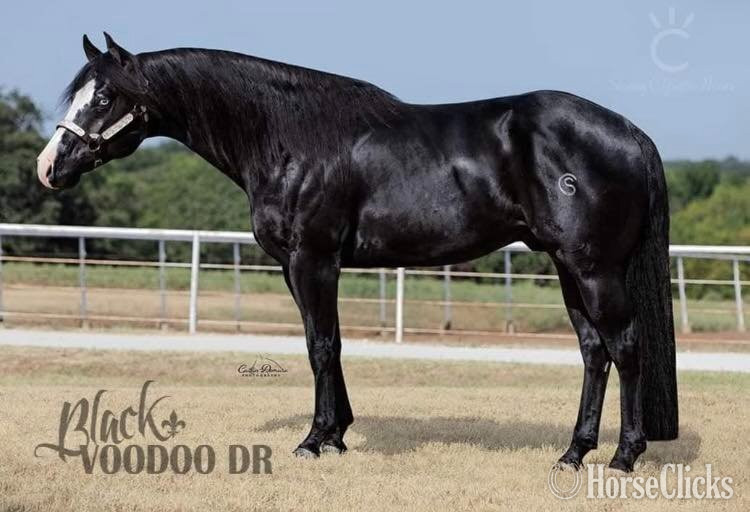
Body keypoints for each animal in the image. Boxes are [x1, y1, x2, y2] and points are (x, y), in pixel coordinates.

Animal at [37, 33, 678, 472]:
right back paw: (573, 452)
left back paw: (623, 456)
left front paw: (313, 440)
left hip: (595, 269)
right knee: (594, 352)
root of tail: (630, 133)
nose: (49, 167)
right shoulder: (302, 267)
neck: (289, 137)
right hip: (569, 268)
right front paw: (339, 434)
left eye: (105, 97)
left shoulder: (312, 259)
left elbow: (321, 346)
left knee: (625, 346)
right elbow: (327, 343)